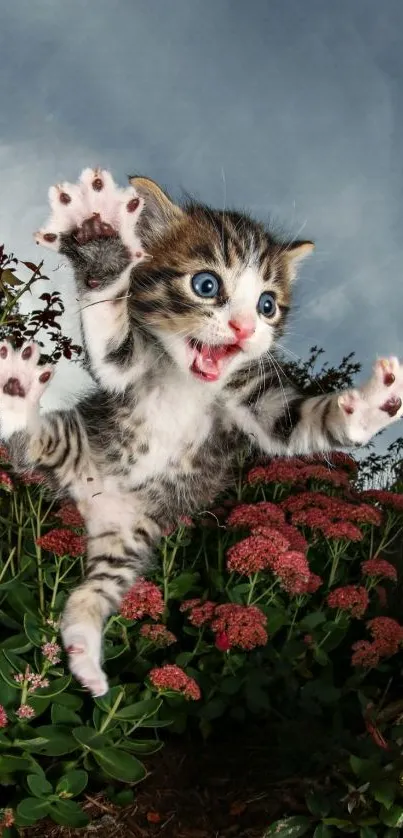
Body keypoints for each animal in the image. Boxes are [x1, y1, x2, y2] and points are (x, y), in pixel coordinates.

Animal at [1, 167, 402, 700]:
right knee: (28, 443)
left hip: (131, 537)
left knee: (96, 591)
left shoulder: (256, 405)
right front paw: (101, 248)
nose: (245, 327)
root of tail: (94, 503)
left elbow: (298, 424)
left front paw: (374, 405)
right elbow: (109, 338)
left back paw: (85, 654)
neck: (191, 382)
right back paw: (16, 394)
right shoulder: (126, 369)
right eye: (206, 284)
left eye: (268, 305)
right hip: (73, 440)